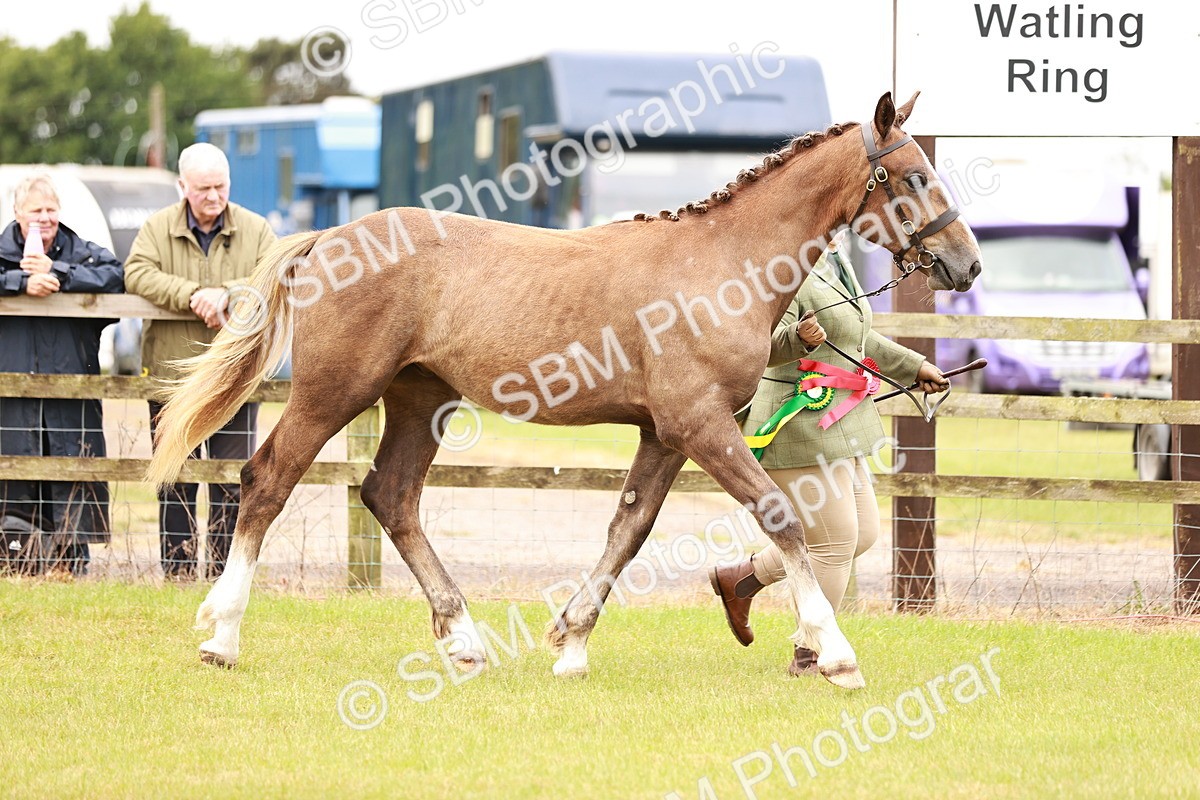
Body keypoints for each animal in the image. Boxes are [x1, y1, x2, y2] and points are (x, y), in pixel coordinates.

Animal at [147, 91, 981, 690]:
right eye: (914, 176)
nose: (966, 264)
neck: (720, 265)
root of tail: (331, 239)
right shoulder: (702, 425)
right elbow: (781, 518)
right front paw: (835, 653)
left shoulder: (665, 434)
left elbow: (628, 530)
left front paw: (571, 643)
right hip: (335, 392)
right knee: (267, 479)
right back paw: (222, 634)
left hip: (420, 400)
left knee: (391, 495)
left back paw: (464, 641)